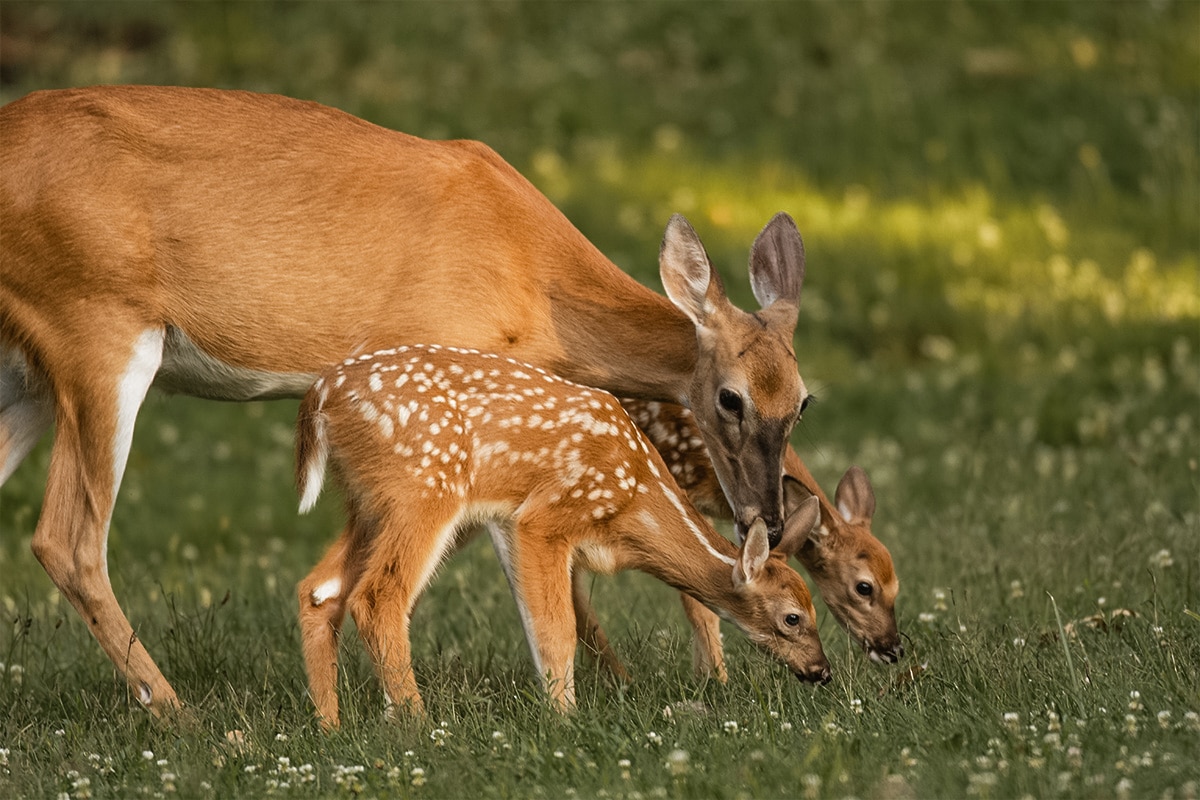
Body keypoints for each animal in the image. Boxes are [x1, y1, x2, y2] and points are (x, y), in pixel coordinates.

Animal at [295, 345, 830, 724]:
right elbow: (558, 628)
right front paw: (564, 717)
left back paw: (331, 726)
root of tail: (319, 399)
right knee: (378, 595)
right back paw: (418, 725)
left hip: (367, 503)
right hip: (424, 488)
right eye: (792, 618)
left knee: (319, 590)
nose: (822, 671)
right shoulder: (544, 517)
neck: (635, 501)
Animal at [571, 402, 902, 681]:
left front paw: (707, 676)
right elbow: (698, 602)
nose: (894, 648)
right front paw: (716, 679)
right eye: (864, 587)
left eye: (897, 587)